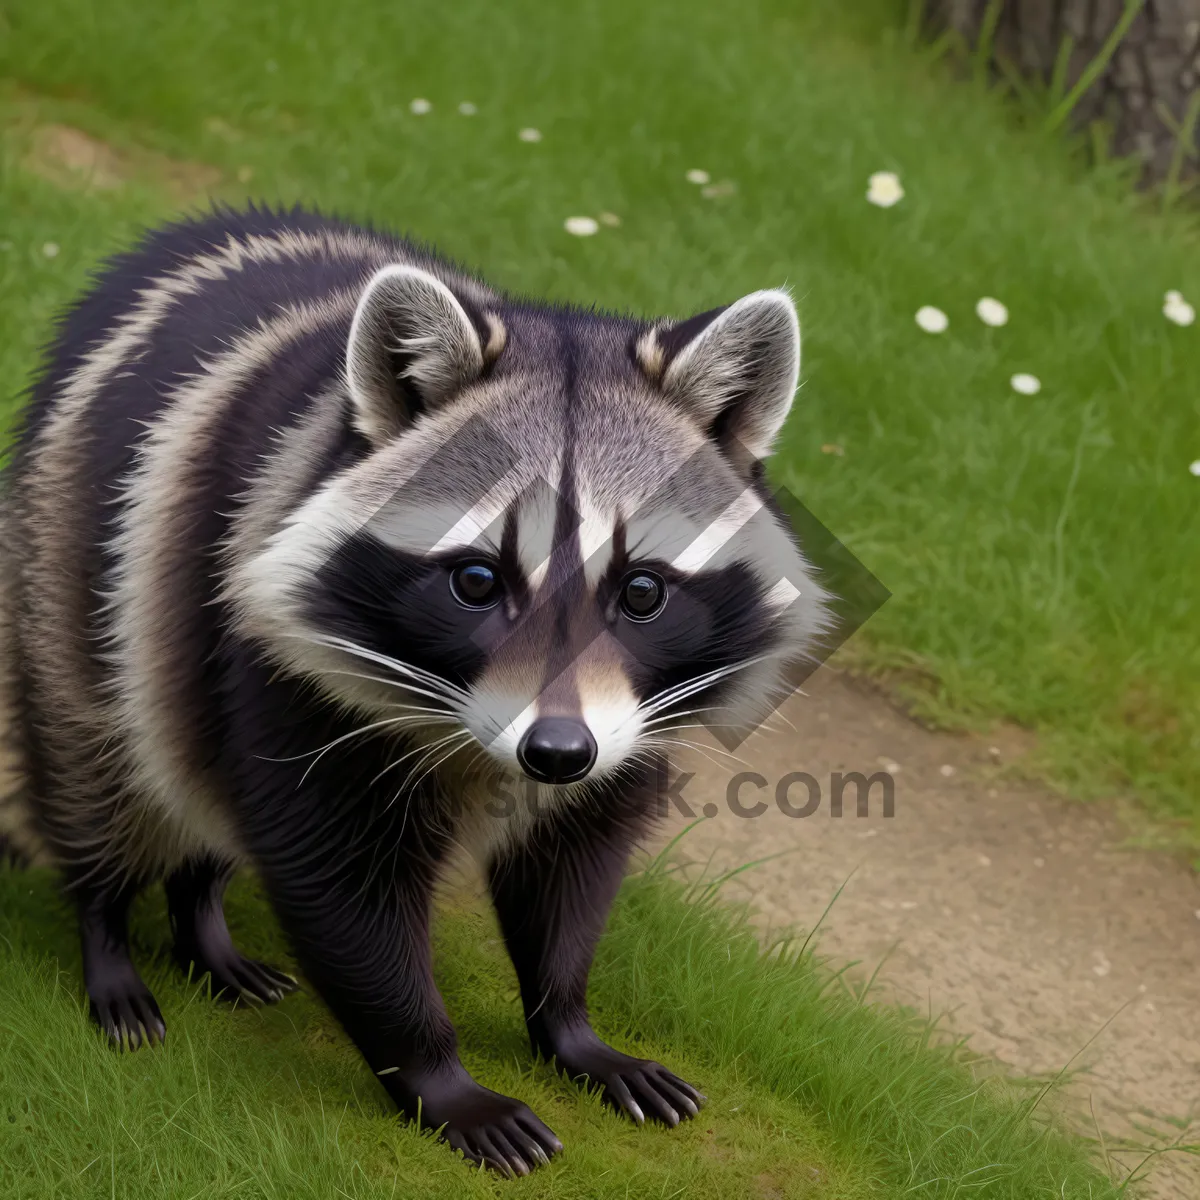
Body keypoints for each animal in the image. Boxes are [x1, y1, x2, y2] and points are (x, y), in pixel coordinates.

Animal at [0, 204, 830, 1171]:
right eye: (475, 581)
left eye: (642, 592)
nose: (555, 753)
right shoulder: (276, 657)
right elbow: (340, 887)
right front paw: (436, 1074)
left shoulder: (628, 726)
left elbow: (574, 868)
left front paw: (568, 1020)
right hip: (77, 586)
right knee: (101, 762)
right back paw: (106, 931)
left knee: (201, 789)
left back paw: (202, 921)